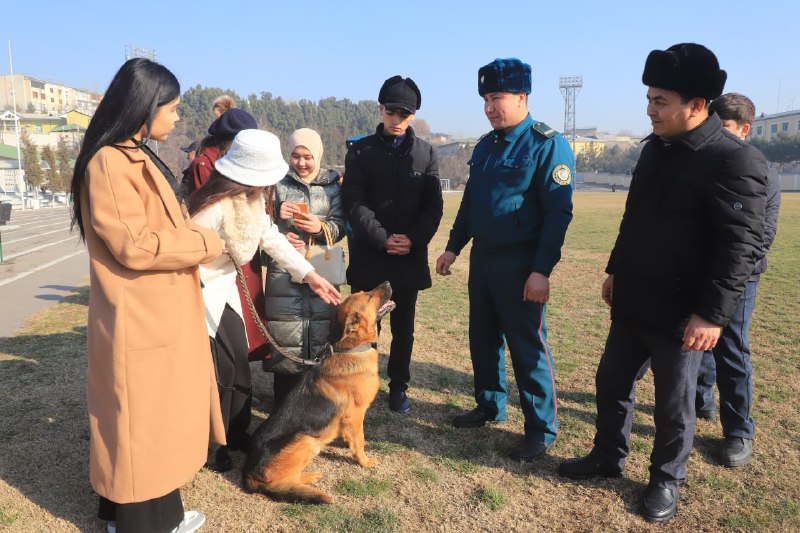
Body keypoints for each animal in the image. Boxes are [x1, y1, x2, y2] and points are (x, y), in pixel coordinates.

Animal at [242, 280, 396, 500]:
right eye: (368, 296)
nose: (388, 282)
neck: (350, 349)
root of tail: (249, 475)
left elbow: (353, 437)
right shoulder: (356, 415)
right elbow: (360, 441)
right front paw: (364, 462)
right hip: (306, 440)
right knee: (286, 481)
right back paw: (309, 478)